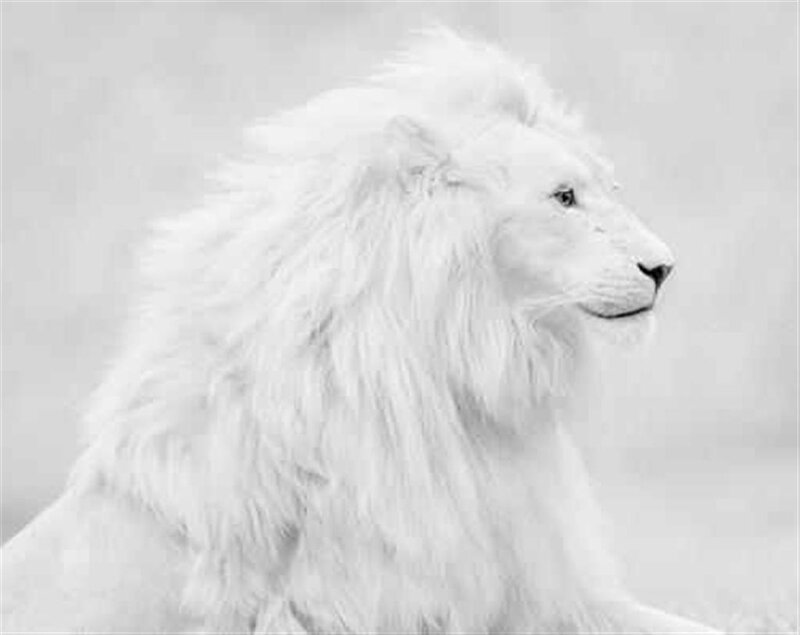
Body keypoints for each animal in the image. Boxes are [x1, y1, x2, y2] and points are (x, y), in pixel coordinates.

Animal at [1, 30, 720, 634]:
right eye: (562, 196)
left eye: (606, 187)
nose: (663, 267)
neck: (464, 381)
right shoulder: (365, 601)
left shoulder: (535, 586)